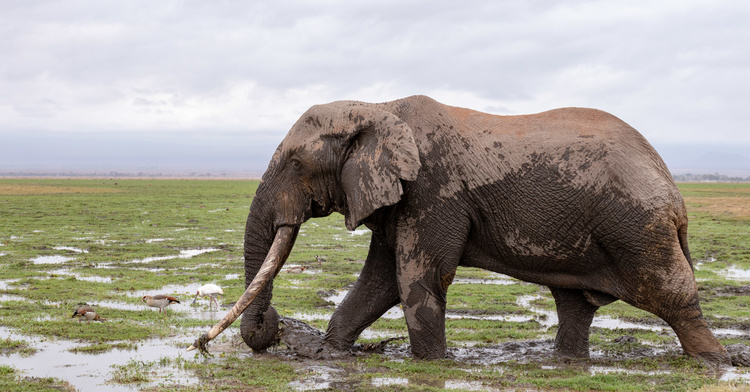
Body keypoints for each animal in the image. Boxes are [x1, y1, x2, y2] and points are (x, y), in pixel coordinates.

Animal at [189, 95, 736, 364]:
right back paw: (568, 364)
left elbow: (418, 278)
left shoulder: (433, 189)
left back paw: (716, 363)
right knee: (575, 303)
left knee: (671, 293)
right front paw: (329, 353)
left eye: (298, 163)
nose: (200, 344)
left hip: (638, 225)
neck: (377, 106)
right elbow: (380, 282)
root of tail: (674, 189)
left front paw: (433, 365)